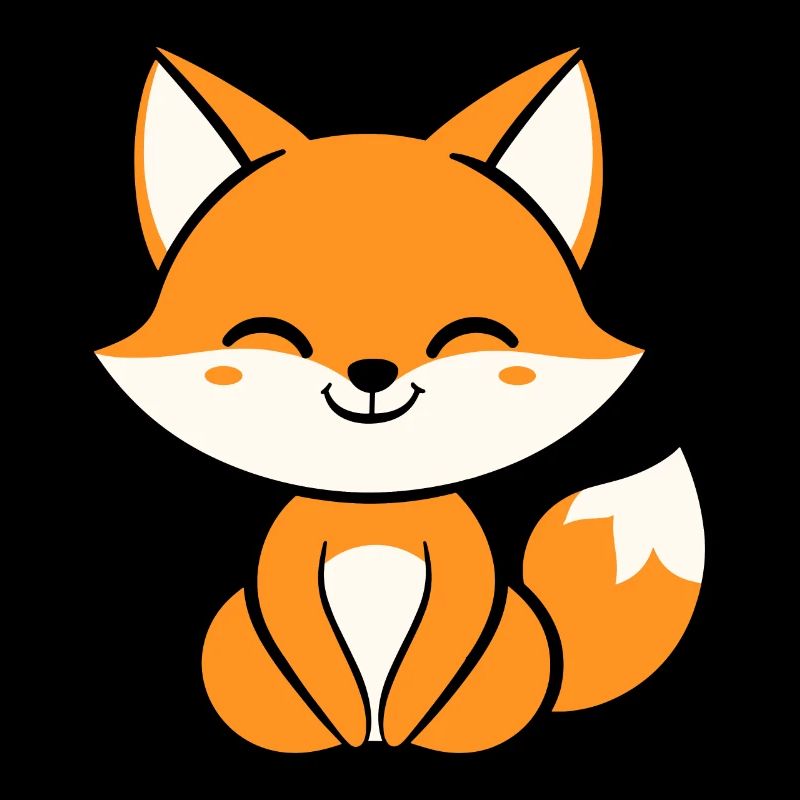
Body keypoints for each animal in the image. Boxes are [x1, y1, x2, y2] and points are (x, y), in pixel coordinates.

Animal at [97, 47, 705, 753]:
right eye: (272, 339)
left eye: (466, 339)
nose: (372, 372)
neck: (374, 509)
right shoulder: (289, 563)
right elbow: (315, 655)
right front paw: (349, 727)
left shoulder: (460, 563)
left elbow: (435, 655)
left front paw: (401, 725)